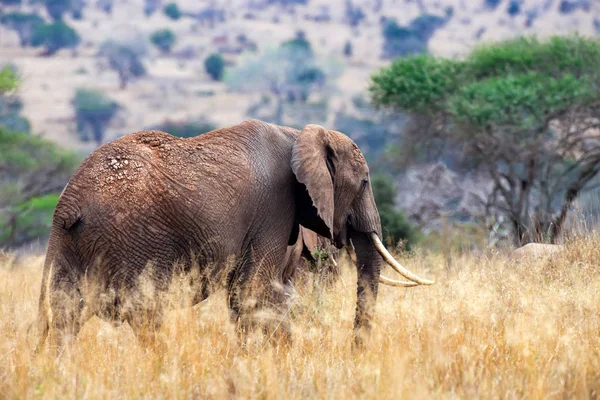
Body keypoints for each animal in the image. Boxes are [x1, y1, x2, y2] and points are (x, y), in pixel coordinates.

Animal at [35, 119, 434, 350]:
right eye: (365, 182)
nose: (354, 350)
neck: (299, 135)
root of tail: (68, 204)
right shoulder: (274, 207)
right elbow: (252, 293)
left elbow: (248, 297)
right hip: (129, 240)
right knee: (145, 314)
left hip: (72, 244)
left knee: (65, 316)